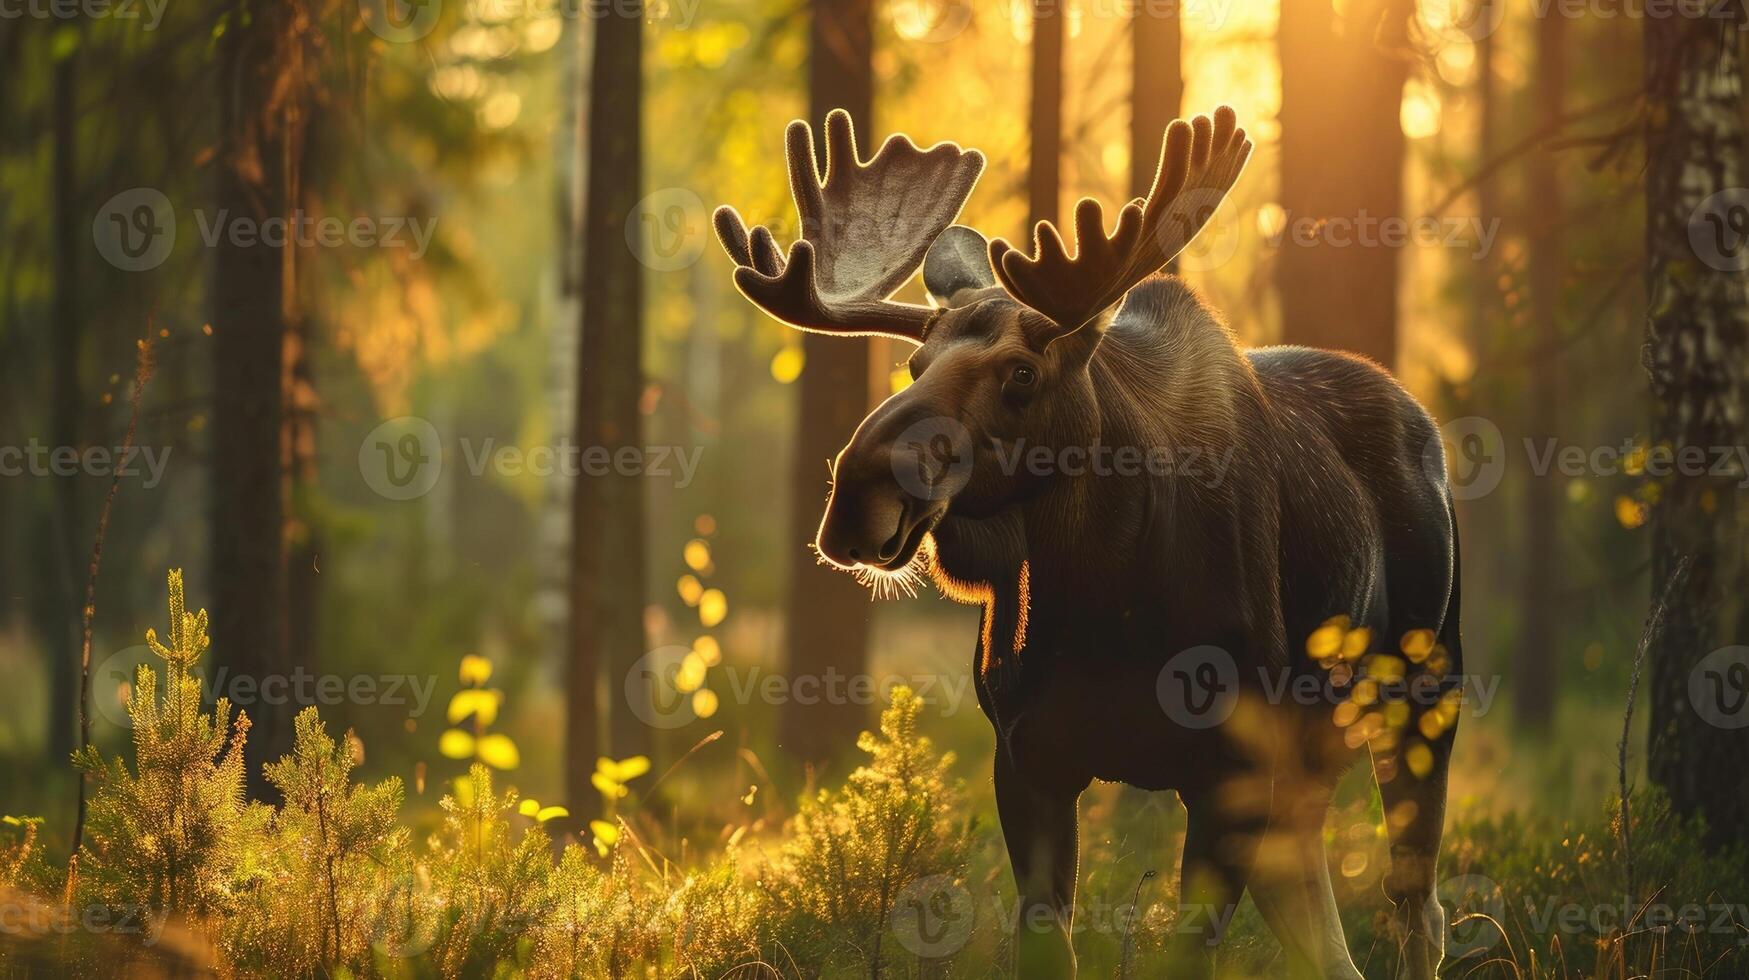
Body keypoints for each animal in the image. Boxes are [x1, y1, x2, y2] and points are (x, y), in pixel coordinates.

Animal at [710, 103, 1462, 973]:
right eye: (913, 365)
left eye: (1021, 375)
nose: (858, 492)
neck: (1104, 599)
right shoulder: (1027, 759)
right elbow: (1047, 945)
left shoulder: (1224, 770)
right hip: (1304, 763)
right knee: (1321, 929)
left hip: (1424, 693)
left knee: (1416, 908)